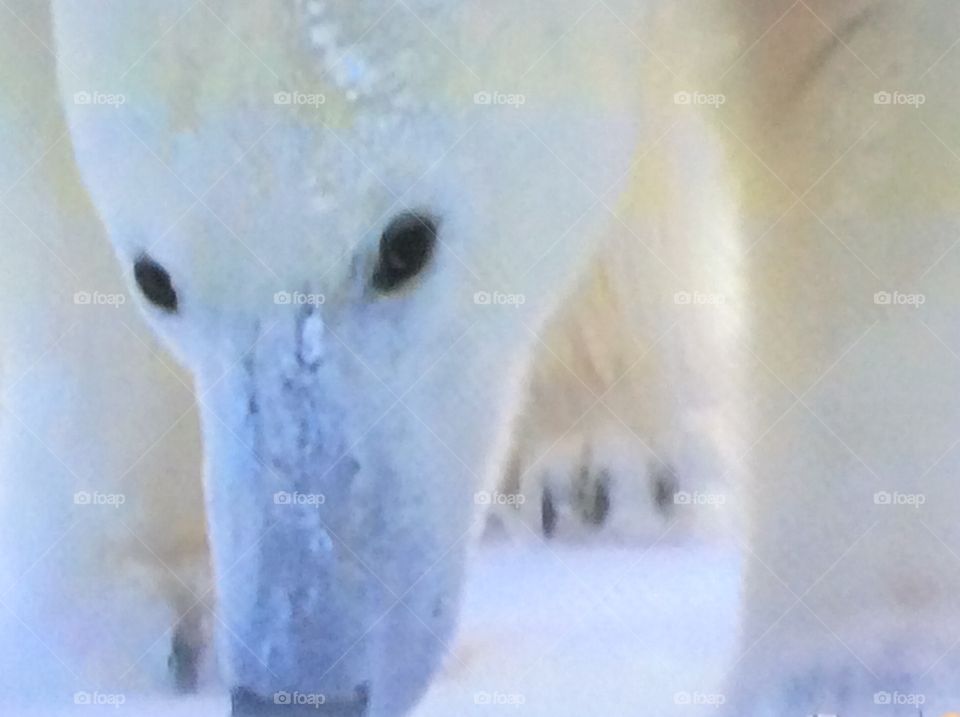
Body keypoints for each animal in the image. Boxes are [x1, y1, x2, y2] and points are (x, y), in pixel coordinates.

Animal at [1, 0, 959, 715]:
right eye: (154, 279)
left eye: (405, 244)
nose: (299, 690)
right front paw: (171, 601)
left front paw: (855, 669)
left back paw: (611, 460)